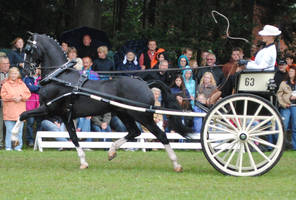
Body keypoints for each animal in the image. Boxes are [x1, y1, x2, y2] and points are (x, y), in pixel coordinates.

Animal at [12, 33, 190, 172]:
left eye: (28, 50)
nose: (25, 70)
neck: (59, 77)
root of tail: (146, 84)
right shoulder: (65, 115)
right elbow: (73, 137)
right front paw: (83, 162)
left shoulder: (48, 108)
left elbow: (23, 114)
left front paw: (14, 138)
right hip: (123, 113)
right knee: (134, 132)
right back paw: (111, 151)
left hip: (141, 115)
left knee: (160, 134)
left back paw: (176, 164)